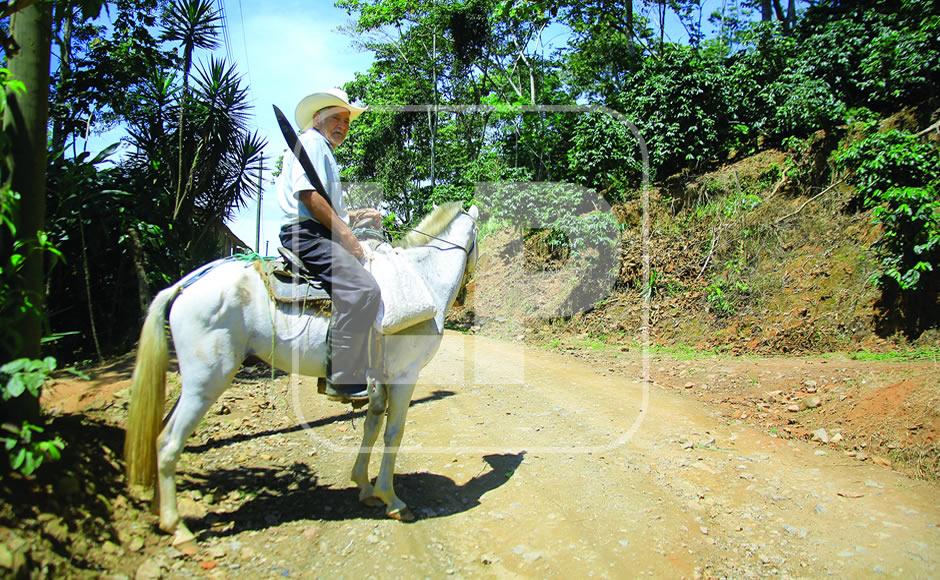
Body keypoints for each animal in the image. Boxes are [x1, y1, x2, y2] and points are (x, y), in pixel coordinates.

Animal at [125, 203, 478, 544]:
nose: (468, 295)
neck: (423, 277)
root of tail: (183, 285)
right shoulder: (405, 376)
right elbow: (394, 433)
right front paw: (390, 499)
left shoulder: (380, 381)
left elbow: (372, 426)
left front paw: (364, 486)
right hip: (206, 383)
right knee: (169, 442)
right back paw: (176, 527)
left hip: (194, 384)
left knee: (160, 434)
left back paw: (160, 510)